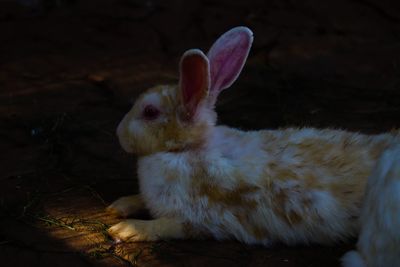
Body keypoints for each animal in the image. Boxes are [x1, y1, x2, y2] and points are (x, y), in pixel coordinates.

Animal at [107, 26, 400, 254]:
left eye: (150, 112)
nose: (119, 133)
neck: (187, 149)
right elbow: (140, 198)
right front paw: (118, 206)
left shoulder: (195, 219)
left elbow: (165, 225)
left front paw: (126, 229)